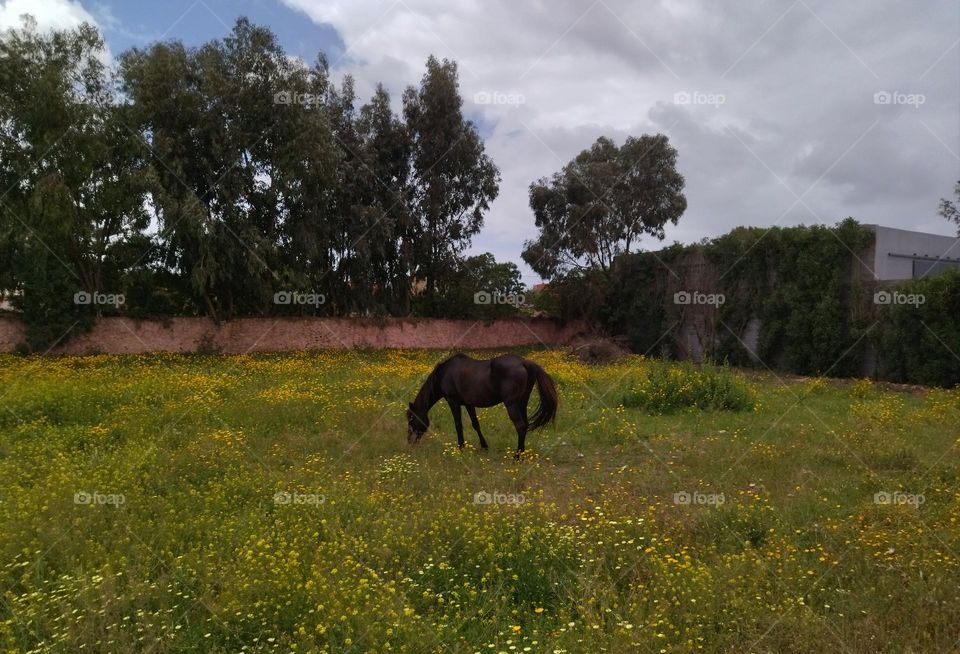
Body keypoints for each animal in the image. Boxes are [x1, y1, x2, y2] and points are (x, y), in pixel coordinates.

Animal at [406, 353, 558, 458]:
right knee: (525, 425)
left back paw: (516, 457)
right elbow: (475, 424)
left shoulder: (453, 401)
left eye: (411, 419)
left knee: (520, 426)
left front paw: (461, 448)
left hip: (512, 404)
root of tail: (524, 362)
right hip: (522, 403)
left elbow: (458, 424)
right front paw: (484, 447)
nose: (409, 442)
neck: (444, 373)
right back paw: (522, 453)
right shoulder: (469, 404)